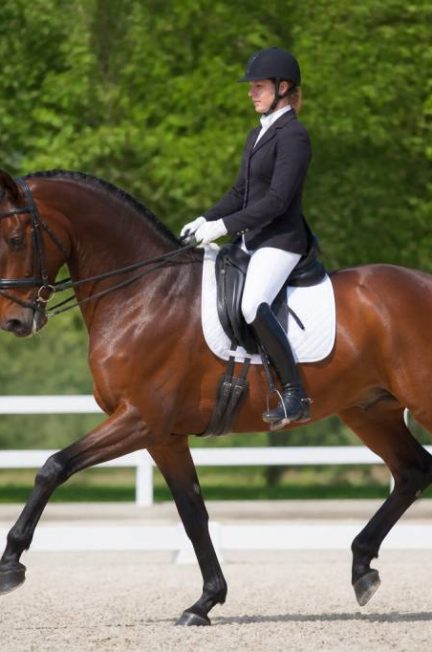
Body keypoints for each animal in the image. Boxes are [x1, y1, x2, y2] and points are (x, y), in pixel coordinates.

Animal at [0, 169, 431, 625]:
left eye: (15, 238)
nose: (14, 321)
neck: (144, 293)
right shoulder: (164, 437)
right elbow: (193, 515)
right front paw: (205, 602)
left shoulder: (140, 419)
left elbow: (53, 467)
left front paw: (10, 565)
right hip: (370, 412)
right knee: (413, 471)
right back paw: (362, 568)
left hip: (417, 402)